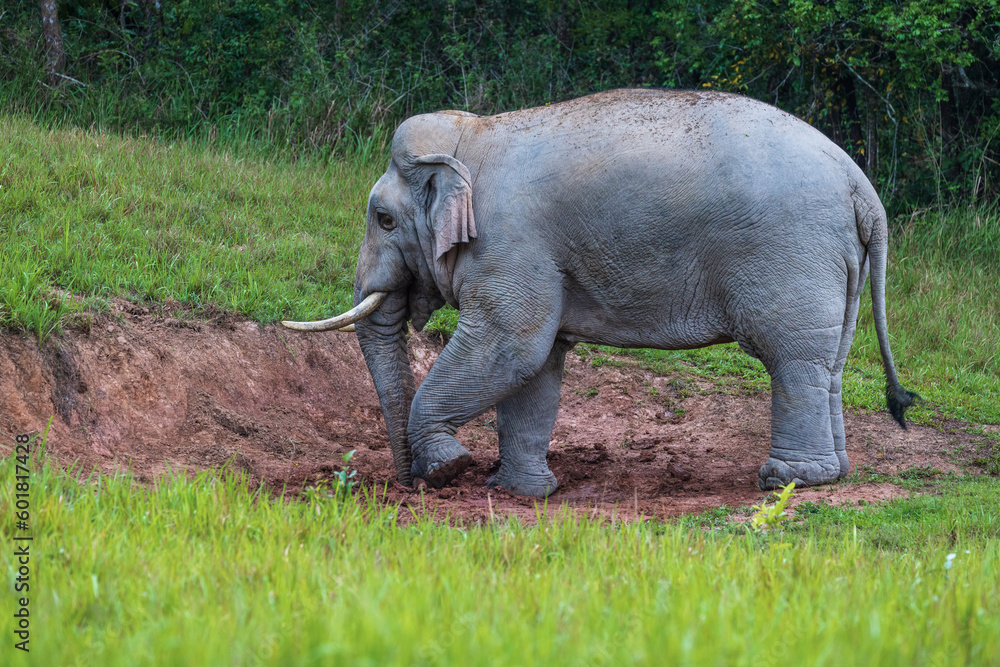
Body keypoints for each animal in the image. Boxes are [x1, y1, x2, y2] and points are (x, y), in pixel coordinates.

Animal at [283, 88, 917, 497]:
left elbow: (510, 345)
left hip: (792, 254)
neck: (472, 136)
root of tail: (863, 189)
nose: (403, 486)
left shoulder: (511, 242)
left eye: (384, 219)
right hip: (837, 262)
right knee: (829, 361)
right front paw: (519, 492)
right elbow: (536, 366)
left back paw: (786, 481)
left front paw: (450, 469)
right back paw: (832, 475)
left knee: (792, 358)